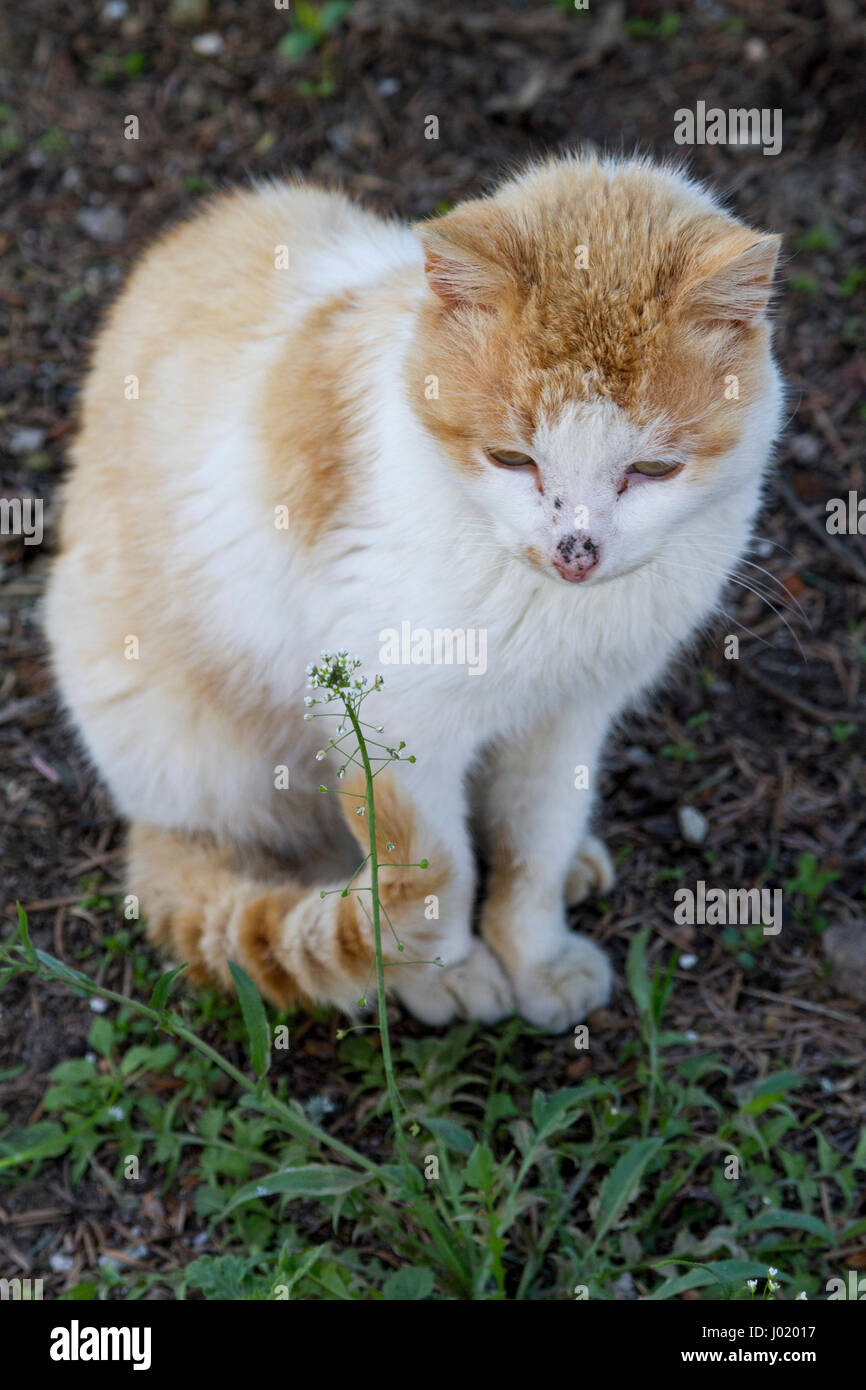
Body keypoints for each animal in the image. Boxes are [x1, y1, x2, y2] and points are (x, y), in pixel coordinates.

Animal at [44, 157, 783, 1039]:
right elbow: (438, 868)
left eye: (653, 470)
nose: (574, 554)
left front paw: (535, 952)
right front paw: (444, 971)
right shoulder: (395, 721)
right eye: (511, 458)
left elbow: (534, 845)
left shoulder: (572, 714)